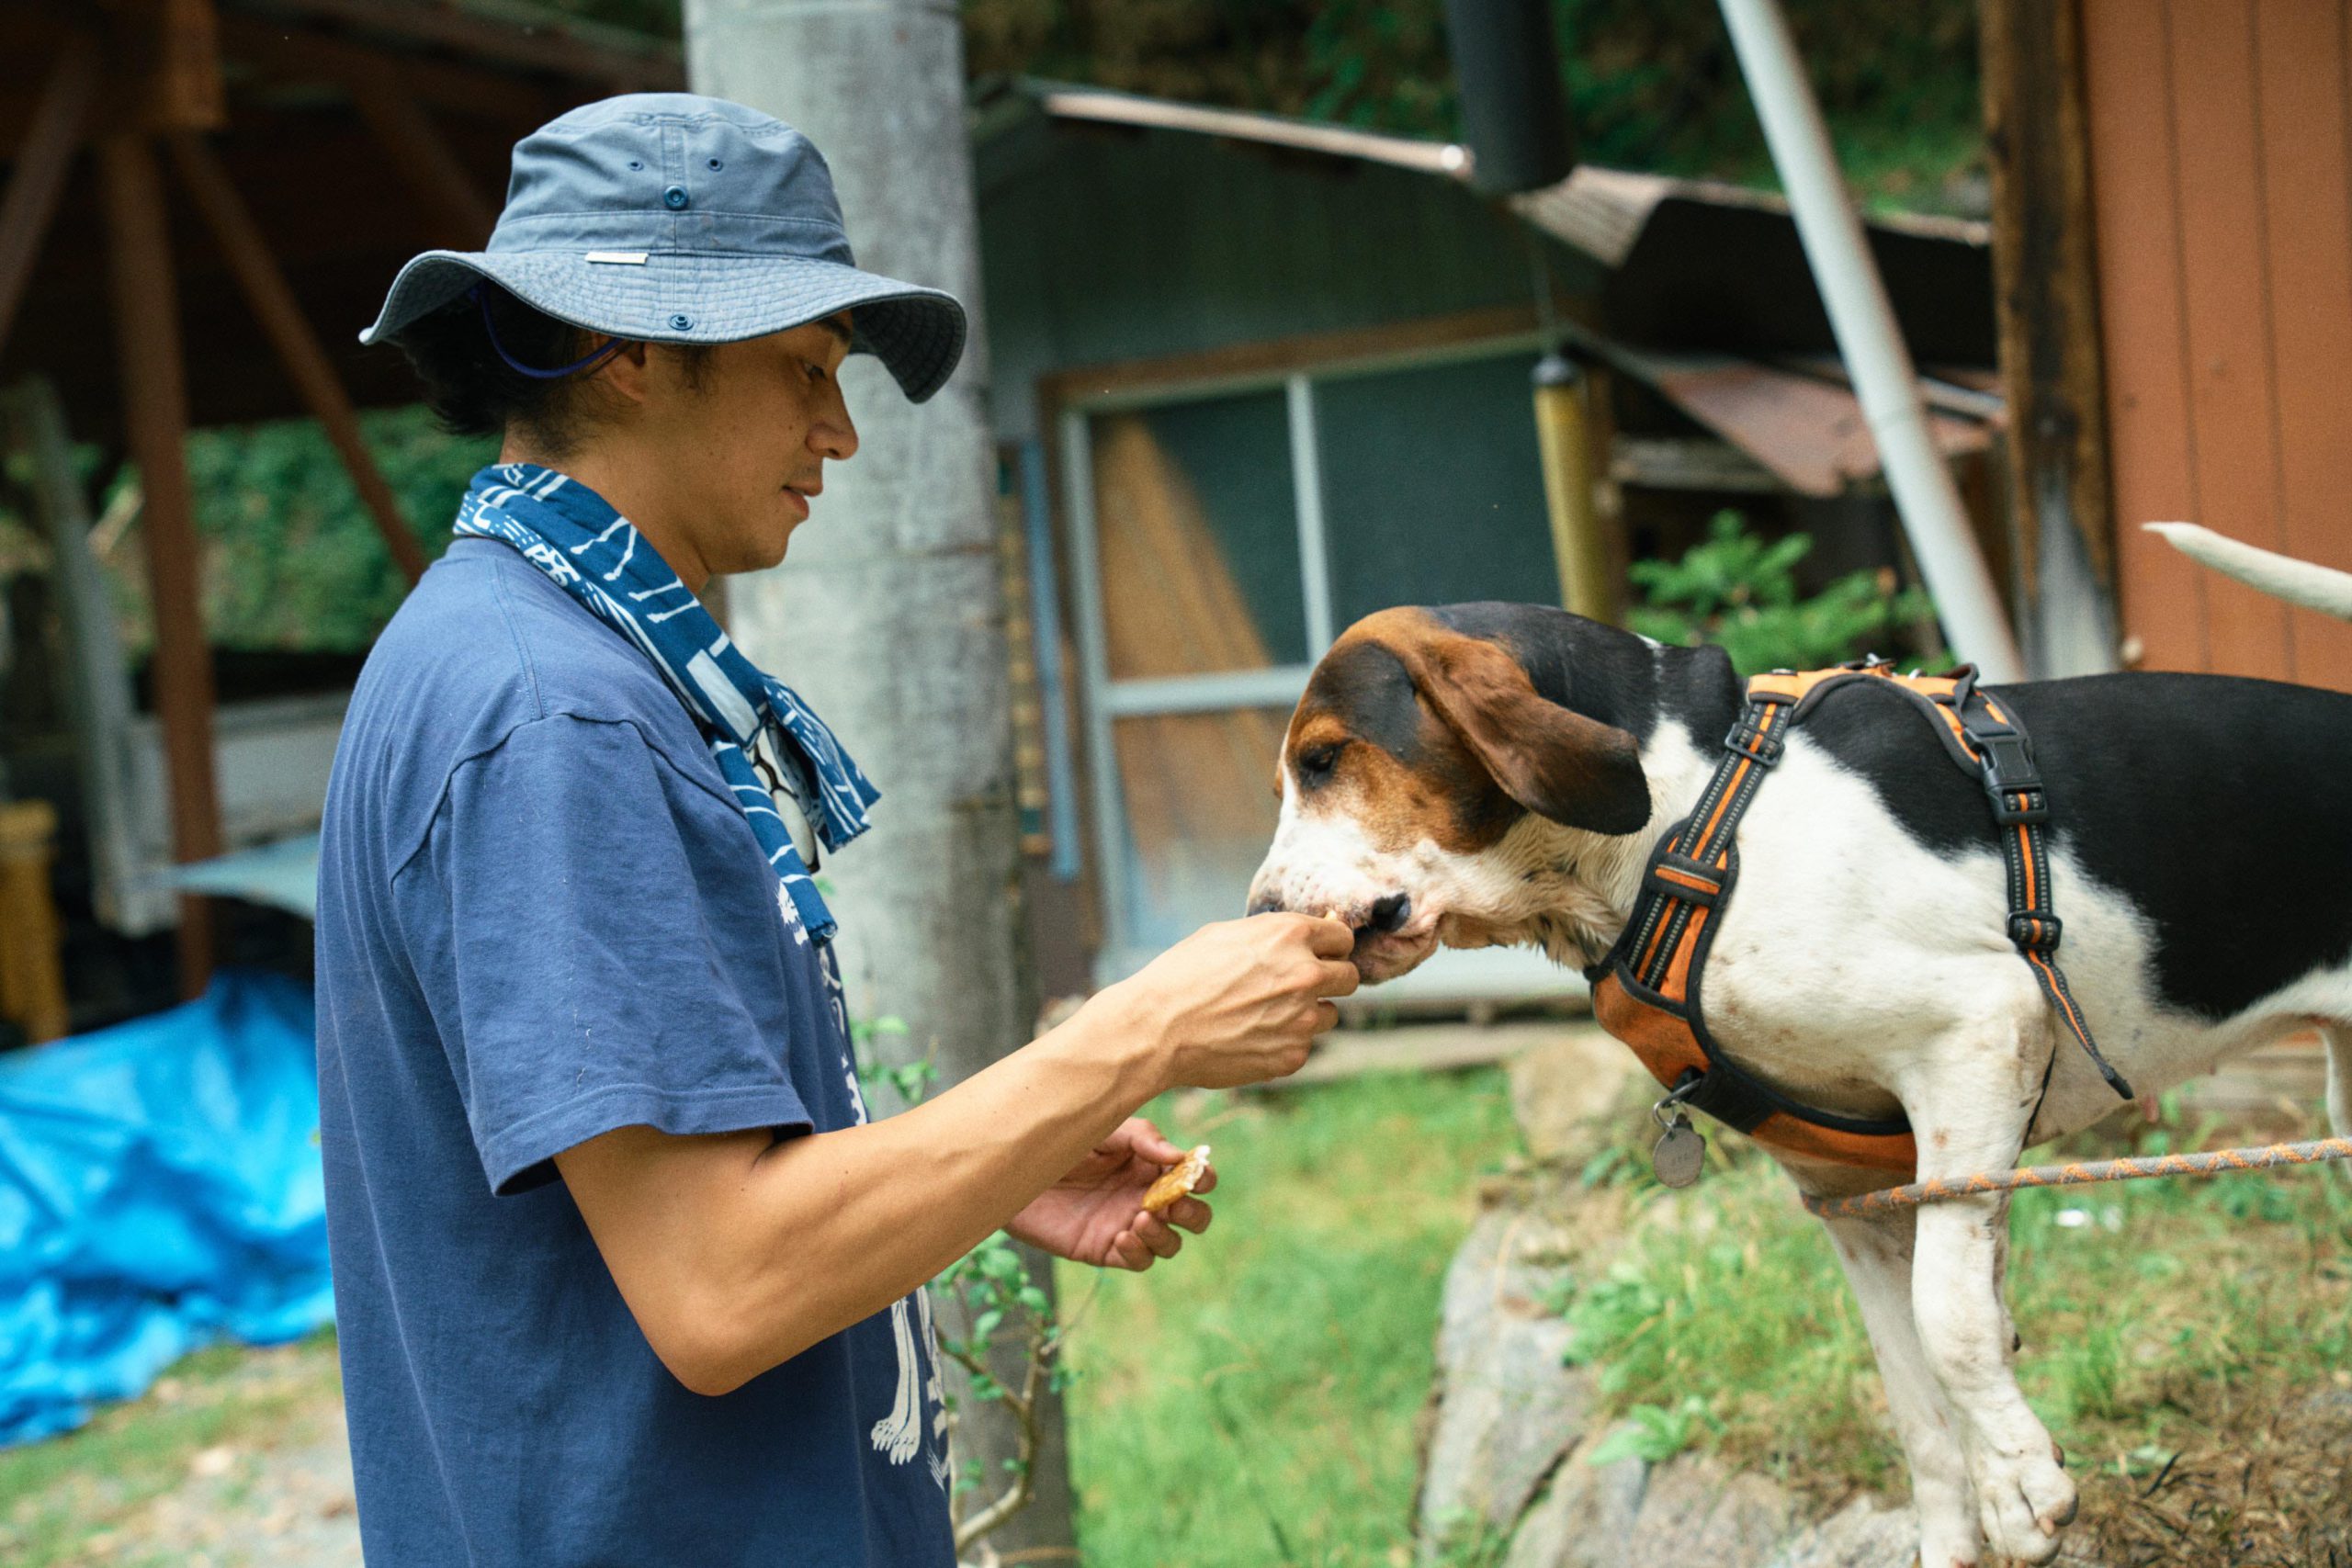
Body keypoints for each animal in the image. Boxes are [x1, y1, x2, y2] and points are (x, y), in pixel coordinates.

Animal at [1250, 531, 2352, 1568]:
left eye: (1323, 759)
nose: (1257, 916)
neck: (1689, 812)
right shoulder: (1856, 1191)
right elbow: (1917, 1404)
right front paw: (1962, 1527)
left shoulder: (1979, 1037)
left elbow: (1952, 1322)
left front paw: (2022, 1487)